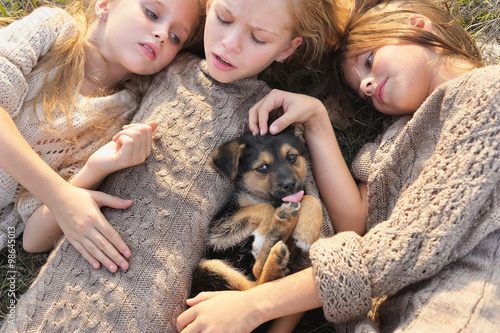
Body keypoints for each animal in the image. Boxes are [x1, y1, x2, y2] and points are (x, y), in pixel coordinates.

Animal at [189, 123, 322, 294]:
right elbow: (265, 208)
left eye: (292, 157)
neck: (273, 201)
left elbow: (310, 198)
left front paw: (307, 232)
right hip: (208, 266)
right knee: (253, 285)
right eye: (262, 167)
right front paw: (262, 238)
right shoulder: (217, 230)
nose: (290, 185)